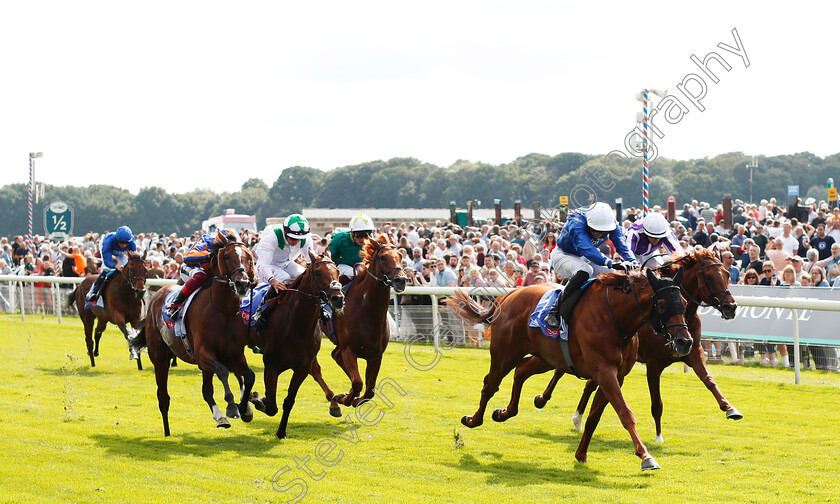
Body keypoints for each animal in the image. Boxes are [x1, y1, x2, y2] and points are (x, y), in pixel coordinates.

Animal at [131, 234, 254, 436]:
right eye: (227, 256)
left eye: (249, 257)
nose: (242, 283)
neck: (223, 311)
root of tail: (156, 295)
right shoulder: (204, 354)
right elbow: (223, 372)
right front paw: (231, 407)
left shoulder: (234, 355)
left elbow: (248, 376)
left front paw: (245, 408)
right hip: (160, 358)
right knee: (163, 396)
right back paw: (168, 430)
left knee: (207, 390)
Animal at [248, 250, 346, 440]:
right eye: (317, 272)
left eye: (337, 271)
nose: (338, 298)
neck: (296, 324)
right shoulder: (271, 364)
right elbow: (271, 406)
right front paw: (258, 400)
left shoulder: (302, 366)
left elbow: (288, 401)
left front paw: (281, 431)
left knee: (316, 371)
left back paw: (334, 404)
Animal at [324, 237, 410, 410]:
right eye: (383, 257)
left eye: (400, 255)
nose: (401, 280)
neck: (367, 312)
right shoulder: (348, 349)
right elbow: (358, 382)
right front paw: (346, 398)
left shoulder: (376, 355)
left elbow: (370, 390)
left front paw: (353, 398)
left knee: (335, 355)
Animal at [450, 270, 692, 470]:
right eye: (662, 303)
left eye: (684, 302)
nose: (685, 341)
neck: (615, 319)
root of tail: (509, 295)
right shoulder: (604, 372)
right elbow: (625, 413)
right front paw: (646, 456)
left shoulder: (616, 376)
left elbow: (594, 417)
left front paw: (581, 454)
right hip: (505, 354)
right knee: (490, 384)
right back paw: (473, 419)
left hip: (547, 358)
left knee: (521, 370)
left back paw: (504, 412)